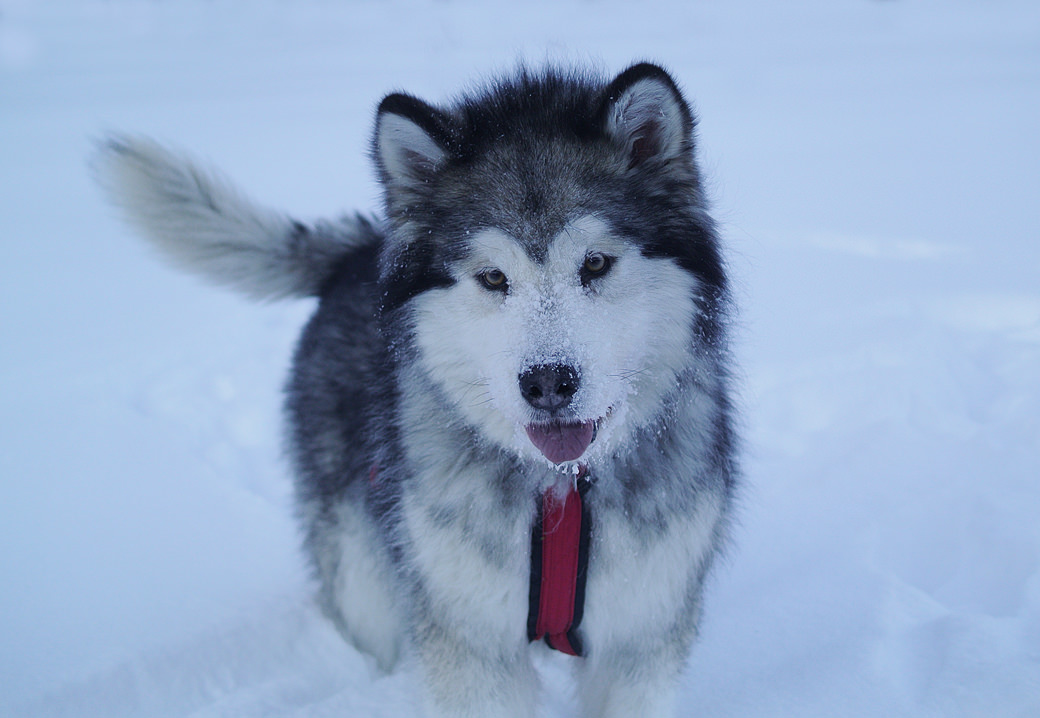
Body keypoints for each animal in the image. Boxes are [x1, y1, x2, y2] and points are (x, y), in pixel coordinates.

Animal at [91, 62, 740, 715]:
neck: (559, 495)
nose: (548, 383)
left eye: (597, 263)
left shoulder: (642, 639)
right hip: (368, 577)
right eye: (493, 278)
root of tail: (359, 251)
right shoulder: (470, 645)